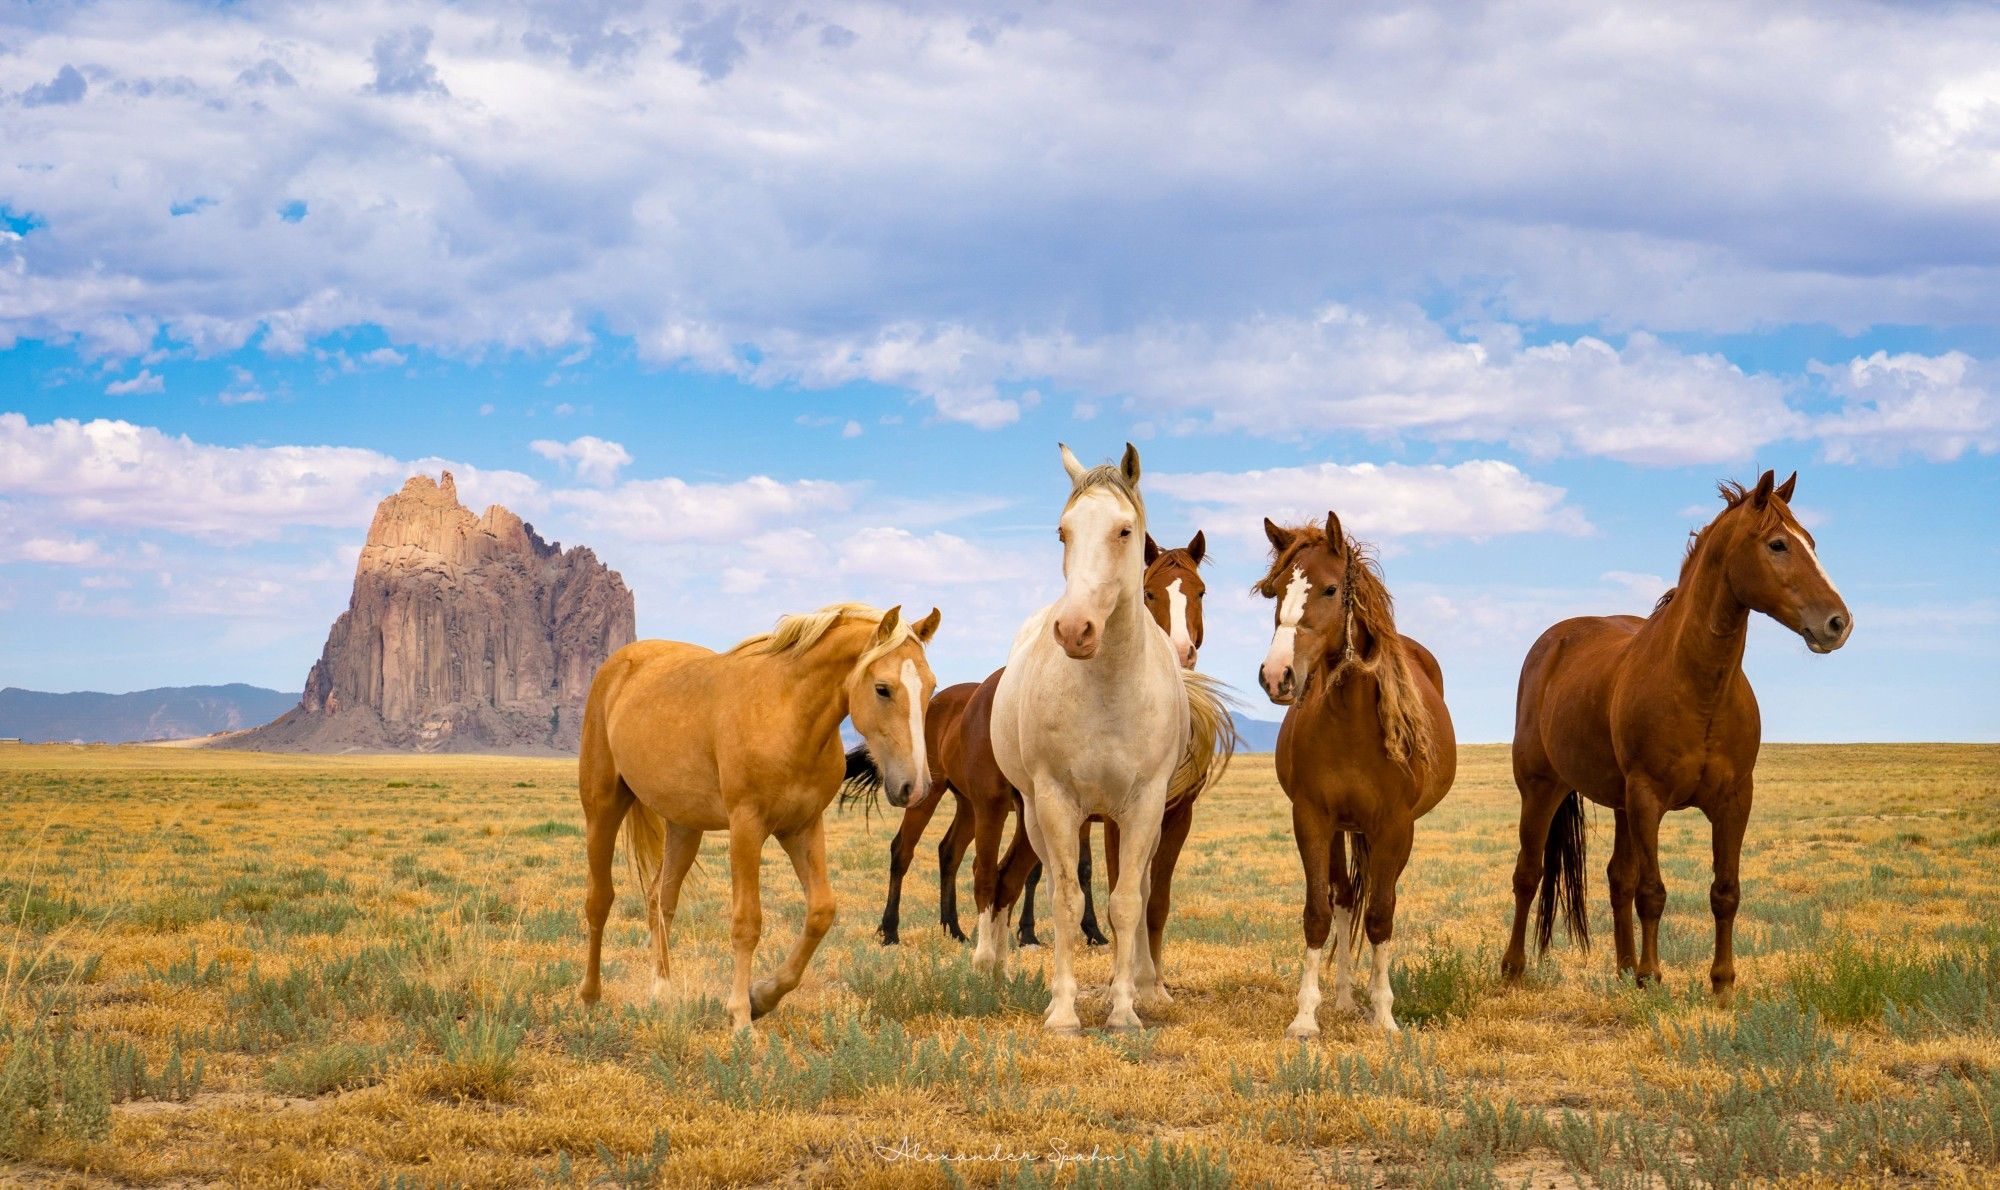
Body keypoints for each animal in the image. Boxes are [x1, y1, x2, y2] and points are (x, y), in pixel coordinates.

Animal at [576, 600, 940, 1032]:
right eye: (882, 688)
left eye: (932, 687)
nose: (915, 787)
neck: (786, 713)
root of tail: (618, 665)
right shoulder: (747, 827)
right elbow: (747, 922)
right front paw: (740, 1016)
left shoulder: (802, 827)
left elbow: (821, 912)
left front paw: (763, 996)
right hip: (603, 807)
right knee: (600, 900)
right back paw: (590, 996)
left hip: (685, 826)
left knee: (659, 900)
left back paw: (662, 992)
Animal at [868, 536, 1208, 956]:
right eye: (1149, 593)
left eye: (1200, 592)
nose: (1181, 651)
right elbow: (1086, 873)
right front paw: (1058, 933)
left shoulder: (1166, 813)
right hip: (939, 795)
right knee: (910, 852)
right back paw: (892, 931)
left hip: (969, 803)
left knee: (951, 852)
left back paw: (956, 929)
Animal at [988, 448, 1232, 1032]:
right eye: (1063, 531)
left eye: (1124, 530)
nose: (1075, 629)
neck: (1109, 688)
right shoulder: (1057, 801)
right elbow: (1068, 901)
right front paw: (1063, 1013)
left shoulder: (1144, 805)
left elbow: (1129, 901)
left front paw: (1127, 1009)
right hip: (1034, 812)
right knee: (1043, 885)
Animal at [1256, 516, 1464, 1040]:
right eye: (1274, 592)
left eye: (1331, 589)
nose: (1277, 675)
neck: (1351, 721)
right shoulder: (1312, 818)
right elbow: (1318, 911)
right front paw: (1305, 1017)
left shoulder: (1393, 826)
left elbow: (1381, 916)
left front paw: (1385, 1016)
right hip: (1341, 829)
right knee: (1345, 899)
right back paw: (1347, 999)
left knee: (1372, 902)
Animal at [1504, 470, 1848, 1000]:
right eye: (1778, 544)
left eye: (1811, 542)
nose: (1837, 623)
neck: (1698, 686)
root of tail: (1552, 642)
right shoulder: (1648, 798)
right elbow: (1653, 893)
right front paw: (1653, 975)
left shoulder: (1733, 800)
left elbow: (1724, 892)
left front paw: (1721, 983)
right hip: (1542, 788)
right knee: (1529, 874)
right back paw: (1515, 968)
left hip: (1619, 804)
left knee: (1617, 879)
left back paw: (1624, 969)